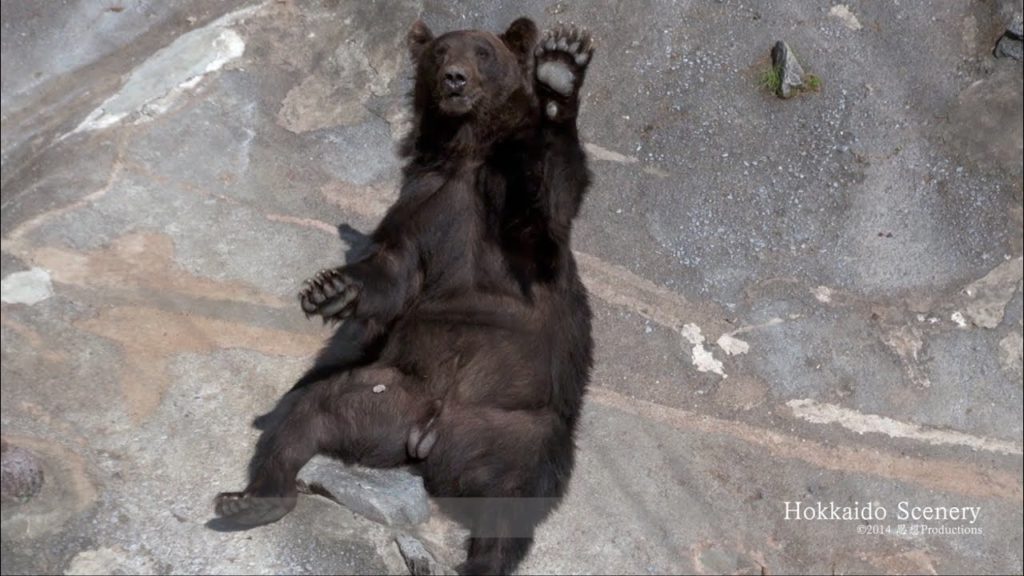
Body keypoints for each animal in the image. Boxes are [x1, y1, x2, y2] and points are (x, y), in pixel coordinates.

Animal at [214, 17, 595, 575]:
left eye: (483, 52)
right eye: (440, 52)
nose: (455, 78)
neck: (465, 153)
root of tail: (433, 437)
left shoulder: (509, 217)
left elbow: (548, 200)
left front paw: (560, 71)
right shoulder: (422, 206)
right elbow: (394, 272)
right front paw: (331, 289)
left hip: (523, 432)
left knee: (513, 502)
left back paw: (481, 561)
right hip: (383, 400)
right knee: (307, 413)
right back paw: (254, 499)